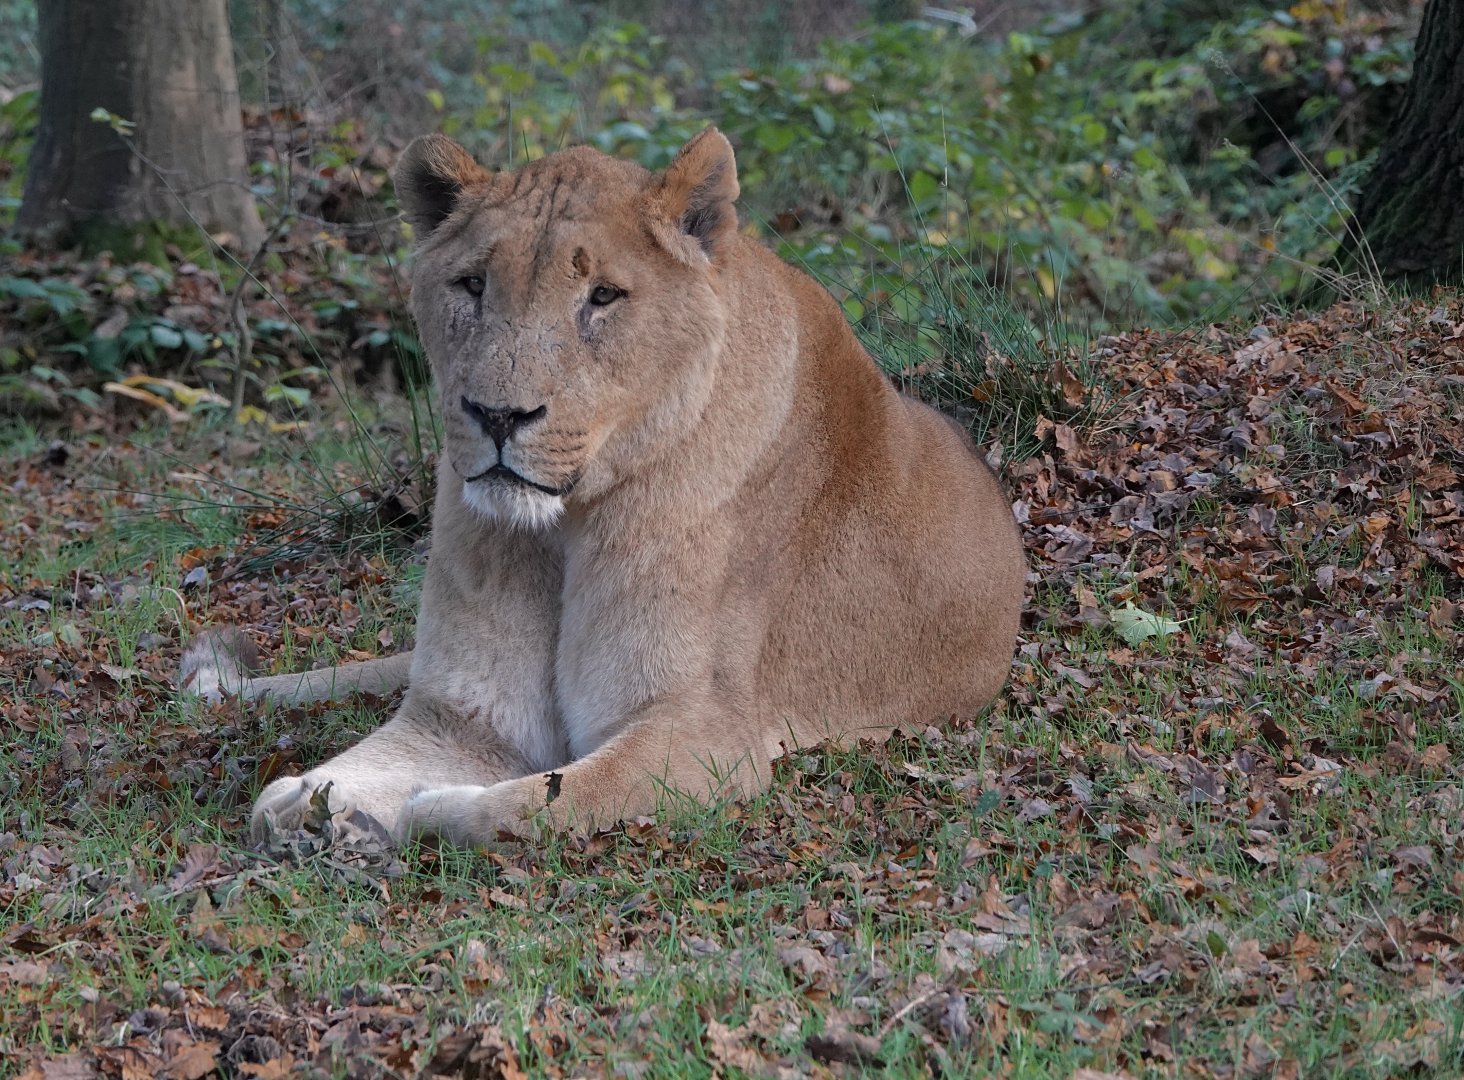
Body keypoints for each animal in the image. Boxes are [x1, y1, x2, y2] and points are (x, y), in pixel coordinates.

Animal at [181, 128, 1026, 847]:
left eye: (604, 297)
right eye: (472, 285)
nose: (497, 415)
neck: (562, 527)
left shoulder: (708, 735)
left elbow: (523, 806)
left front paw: (412, 811)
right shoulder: (462, 719)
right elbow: (317, 786)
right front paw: (311, 800)